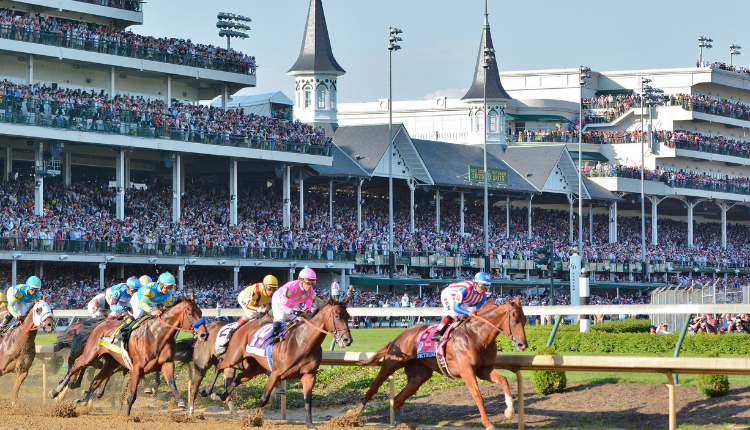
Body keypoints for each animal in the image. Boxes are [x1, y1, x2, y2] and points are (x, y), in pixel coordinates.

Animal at [50, 294, 209, 414]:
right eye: (190, 313)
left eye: (201, 313)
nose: (204, 334)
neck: (156, 335)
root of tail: (99, 325)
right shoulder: (137, 367)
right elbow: (131, 395)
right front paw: (127, 416)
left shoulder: (166, 363)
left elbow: (171, 382)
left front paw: (181, 402)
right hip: (90, 355)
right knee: (75, 366)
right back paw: (56, 391)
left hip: (110, 362)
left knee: (95, 380)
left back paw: (81, 400)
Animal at [212, 298, 352, 430]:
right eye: (337, 316)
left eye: (348, 316)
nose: (347, 340)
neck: (301, 343)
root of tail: (243, 326)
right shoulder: (275, 373)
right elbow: (264, 400)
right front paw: (254, 419)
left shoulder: (309, 376)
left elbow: (308, 400)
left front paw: (309, 423)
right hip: (234, 357)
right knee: (220, 365)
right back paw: (209, 391)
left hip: (254, 368)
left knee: (238, 378)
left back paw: (221, 395)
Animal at [358, 298, 528, 430]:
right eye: (514, 320)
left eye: (525, 321)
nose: (522, 345)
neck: (478, 335)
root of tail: (400, 336)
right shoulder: (467, 370)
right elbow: (478, 396)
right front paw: (488, 423)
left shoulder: (485, 369)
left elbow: (504, 380)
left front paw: (509, 411)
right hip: (391, 364)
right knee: (374, 388)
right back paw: (357, 412)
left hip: (420, 376)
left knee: (398, 399)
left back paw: (400, 424)